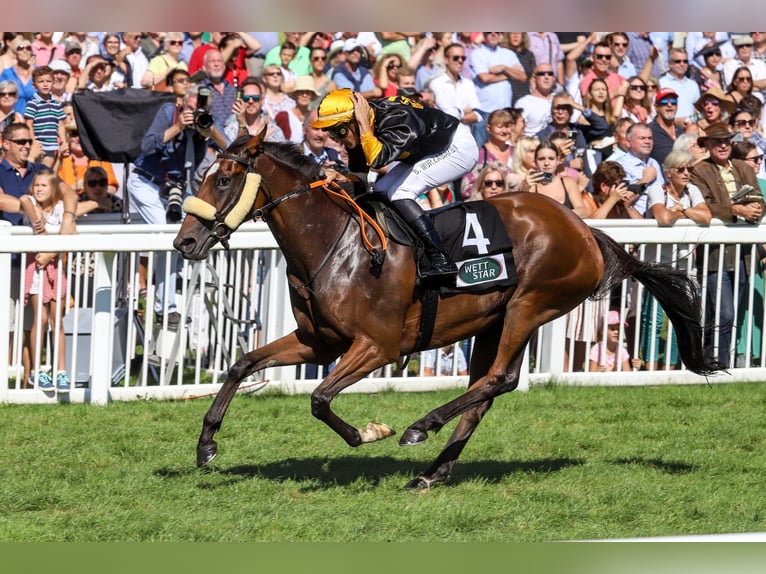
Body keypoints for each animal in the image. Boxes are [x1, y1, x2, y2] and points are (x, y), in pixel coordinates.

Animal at [173, 128, 721, 490]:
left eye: (224, 180)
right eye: (202, 176)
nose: (185, 243)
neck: (335, 244)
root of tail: (585, 229)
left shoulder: (376, 345)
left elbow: (319, 398)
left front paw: (371, 431)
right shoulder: (318, 341)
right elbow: (243, 363)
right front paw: (206, 446)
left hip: (530, 305)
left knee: (497, 379)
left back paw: (421, 428)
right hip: (494, 319)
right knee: (485, 392)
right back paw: (432, 471)